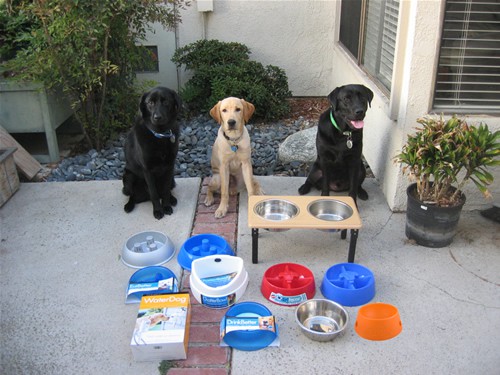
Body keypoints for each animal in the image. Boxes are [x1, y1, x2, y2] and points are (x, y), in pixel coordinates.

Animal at [121, 86, 182, 219]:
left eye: (166, 102)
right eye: (150, 103)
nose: (157, 117)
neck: (160, 135)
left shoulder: (170, 166)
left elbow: (165, 191)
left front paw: (166, 206)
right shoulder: (147, 170)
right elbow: (154, 194)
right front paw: (158, 211)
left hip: (172, 179)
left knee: (165, 190)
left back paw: (172, 199)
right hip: (128, 178)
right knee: (133, 196)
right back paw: (129, 206)